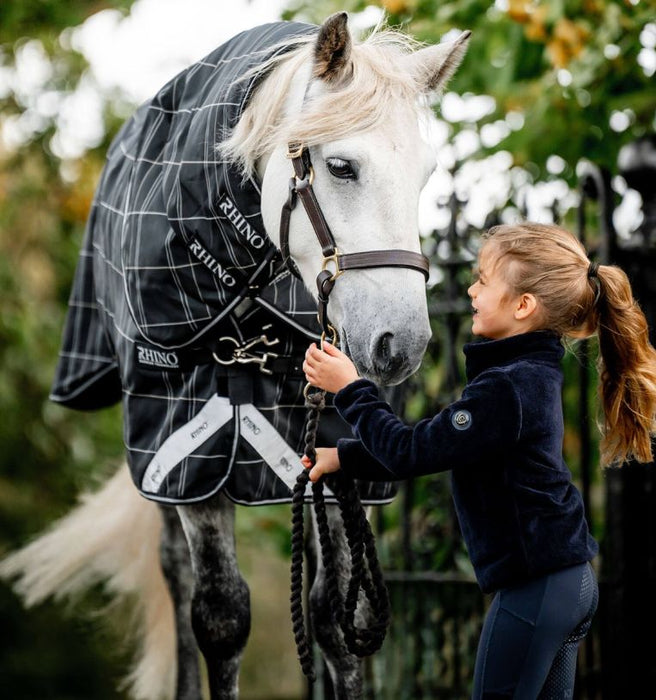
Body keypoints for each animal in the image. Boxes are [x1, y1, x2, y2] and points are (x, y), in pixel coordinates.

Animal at [0, 12, 469, 700]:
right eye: (340, 166)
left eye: (426, 174)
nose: (399, 344)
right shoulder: (184, 444)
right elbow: (220, 616)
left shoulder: (337, 446)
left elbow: (338, 618)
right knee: (175, 574)